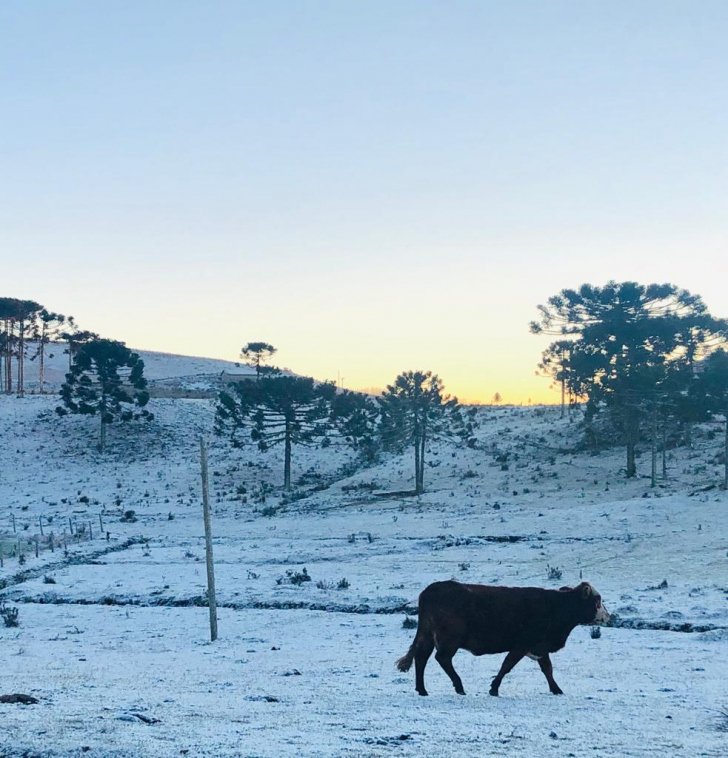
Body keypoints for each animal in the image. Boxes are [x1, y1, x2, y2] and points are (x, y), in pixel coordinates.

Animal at [398, 580, 608, 700]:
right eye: (597, 601)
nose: (608, 616)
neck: (556, 606)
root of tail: (429, 591)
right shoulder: (522, 645)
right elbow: (507, 665)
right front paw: (494, 688)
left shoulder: (539, 647)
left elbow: (547, 669)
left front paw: (556, 689)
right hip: (450, 639)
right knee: (441, 658)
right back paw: (459, 686)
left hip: (427, 636)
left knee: (422, 658)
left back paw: (422, 689)